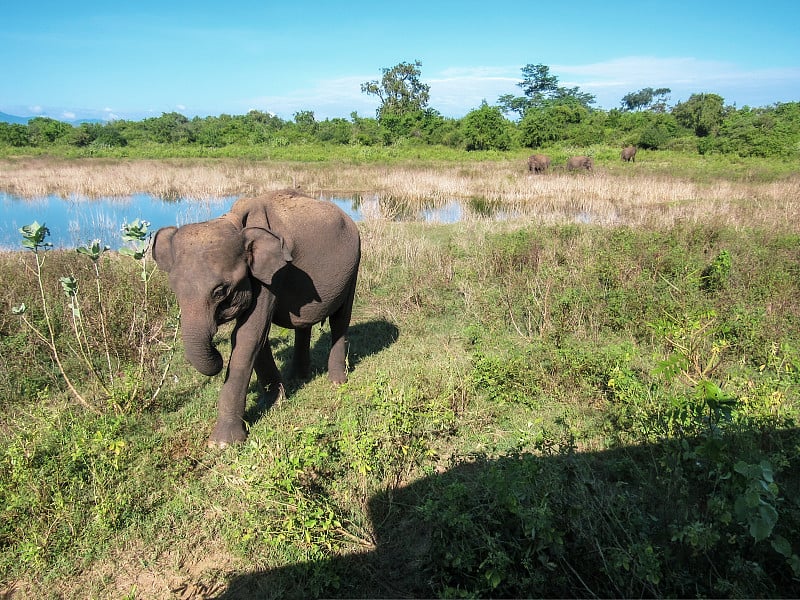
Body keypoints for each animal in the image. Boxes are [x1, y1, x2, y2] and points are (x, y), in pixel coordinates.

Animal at [151, 190, 362, 448]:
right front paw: (274, 402)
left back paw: (336, 382)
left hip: (354, 264)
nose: (217, 355)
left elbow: (247, 335)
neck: (233, 223)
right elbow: (257, 337)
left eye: (220, 291)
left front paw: (222, 444)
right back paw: (298, 377)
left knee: (340, 319)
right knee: (303, 324)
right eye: (174, 289)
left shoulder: (273, 275)